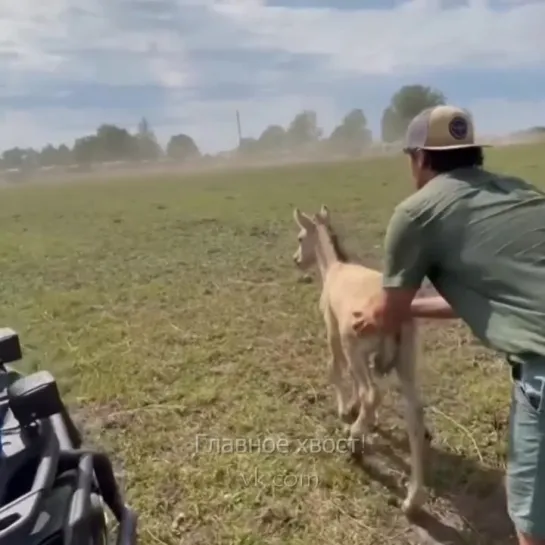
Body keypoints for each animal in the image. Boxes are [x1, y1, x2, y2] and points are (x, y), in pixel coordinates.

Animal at [292, 205, 428, 516]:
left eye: (301, 236)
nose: (296, 260)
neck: (334, 269)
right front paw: (364, 416)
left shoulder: (333, 332)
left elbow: (335, 368)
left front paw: (346, 410)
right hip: (406, 359)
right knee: (413, 413)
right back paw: (412, 499)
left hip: (356, 346)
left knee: (372, 393)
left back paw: (354, 440)